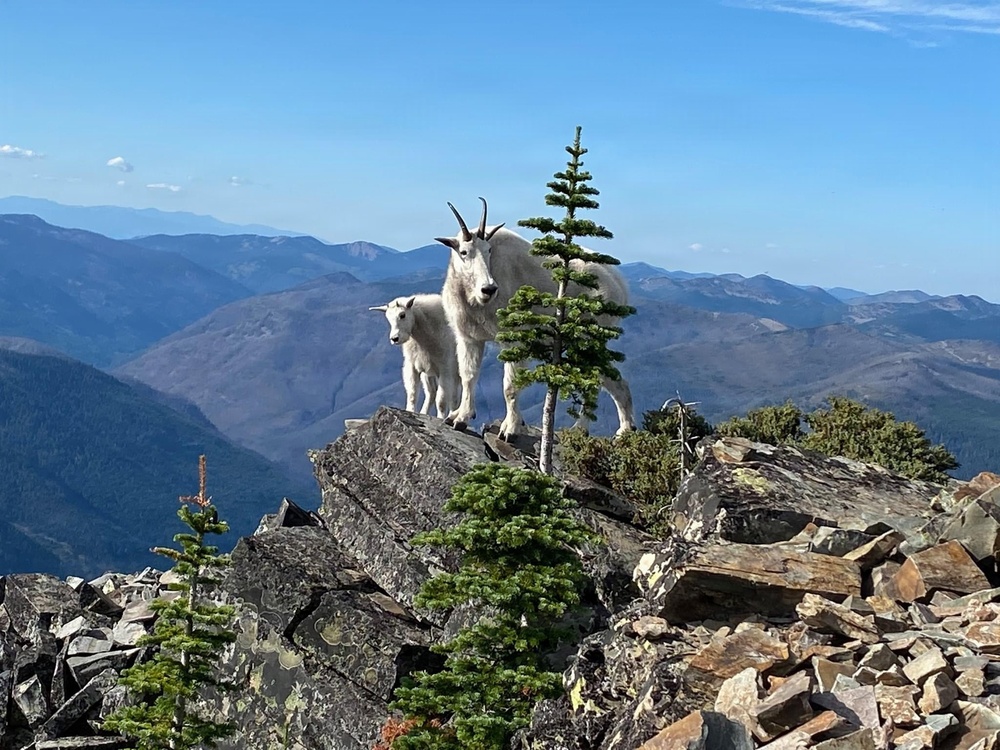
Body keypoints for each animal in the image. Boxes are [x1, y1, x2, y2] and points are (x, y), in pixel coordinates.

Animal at [435, 198, 635, 439]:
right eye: (464, 252)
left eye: (489, 250)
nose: (488, 289)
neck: (475, 300)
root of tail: (620, 286)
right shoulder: (469, 338)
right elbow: (469, 377)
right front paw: (459, 418)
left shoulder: (515, 339)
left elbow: (510, 385)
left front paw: (509, 429)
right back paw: (616, 429)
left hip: (589, 337)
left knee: (598, 381)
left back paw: (593, 429)